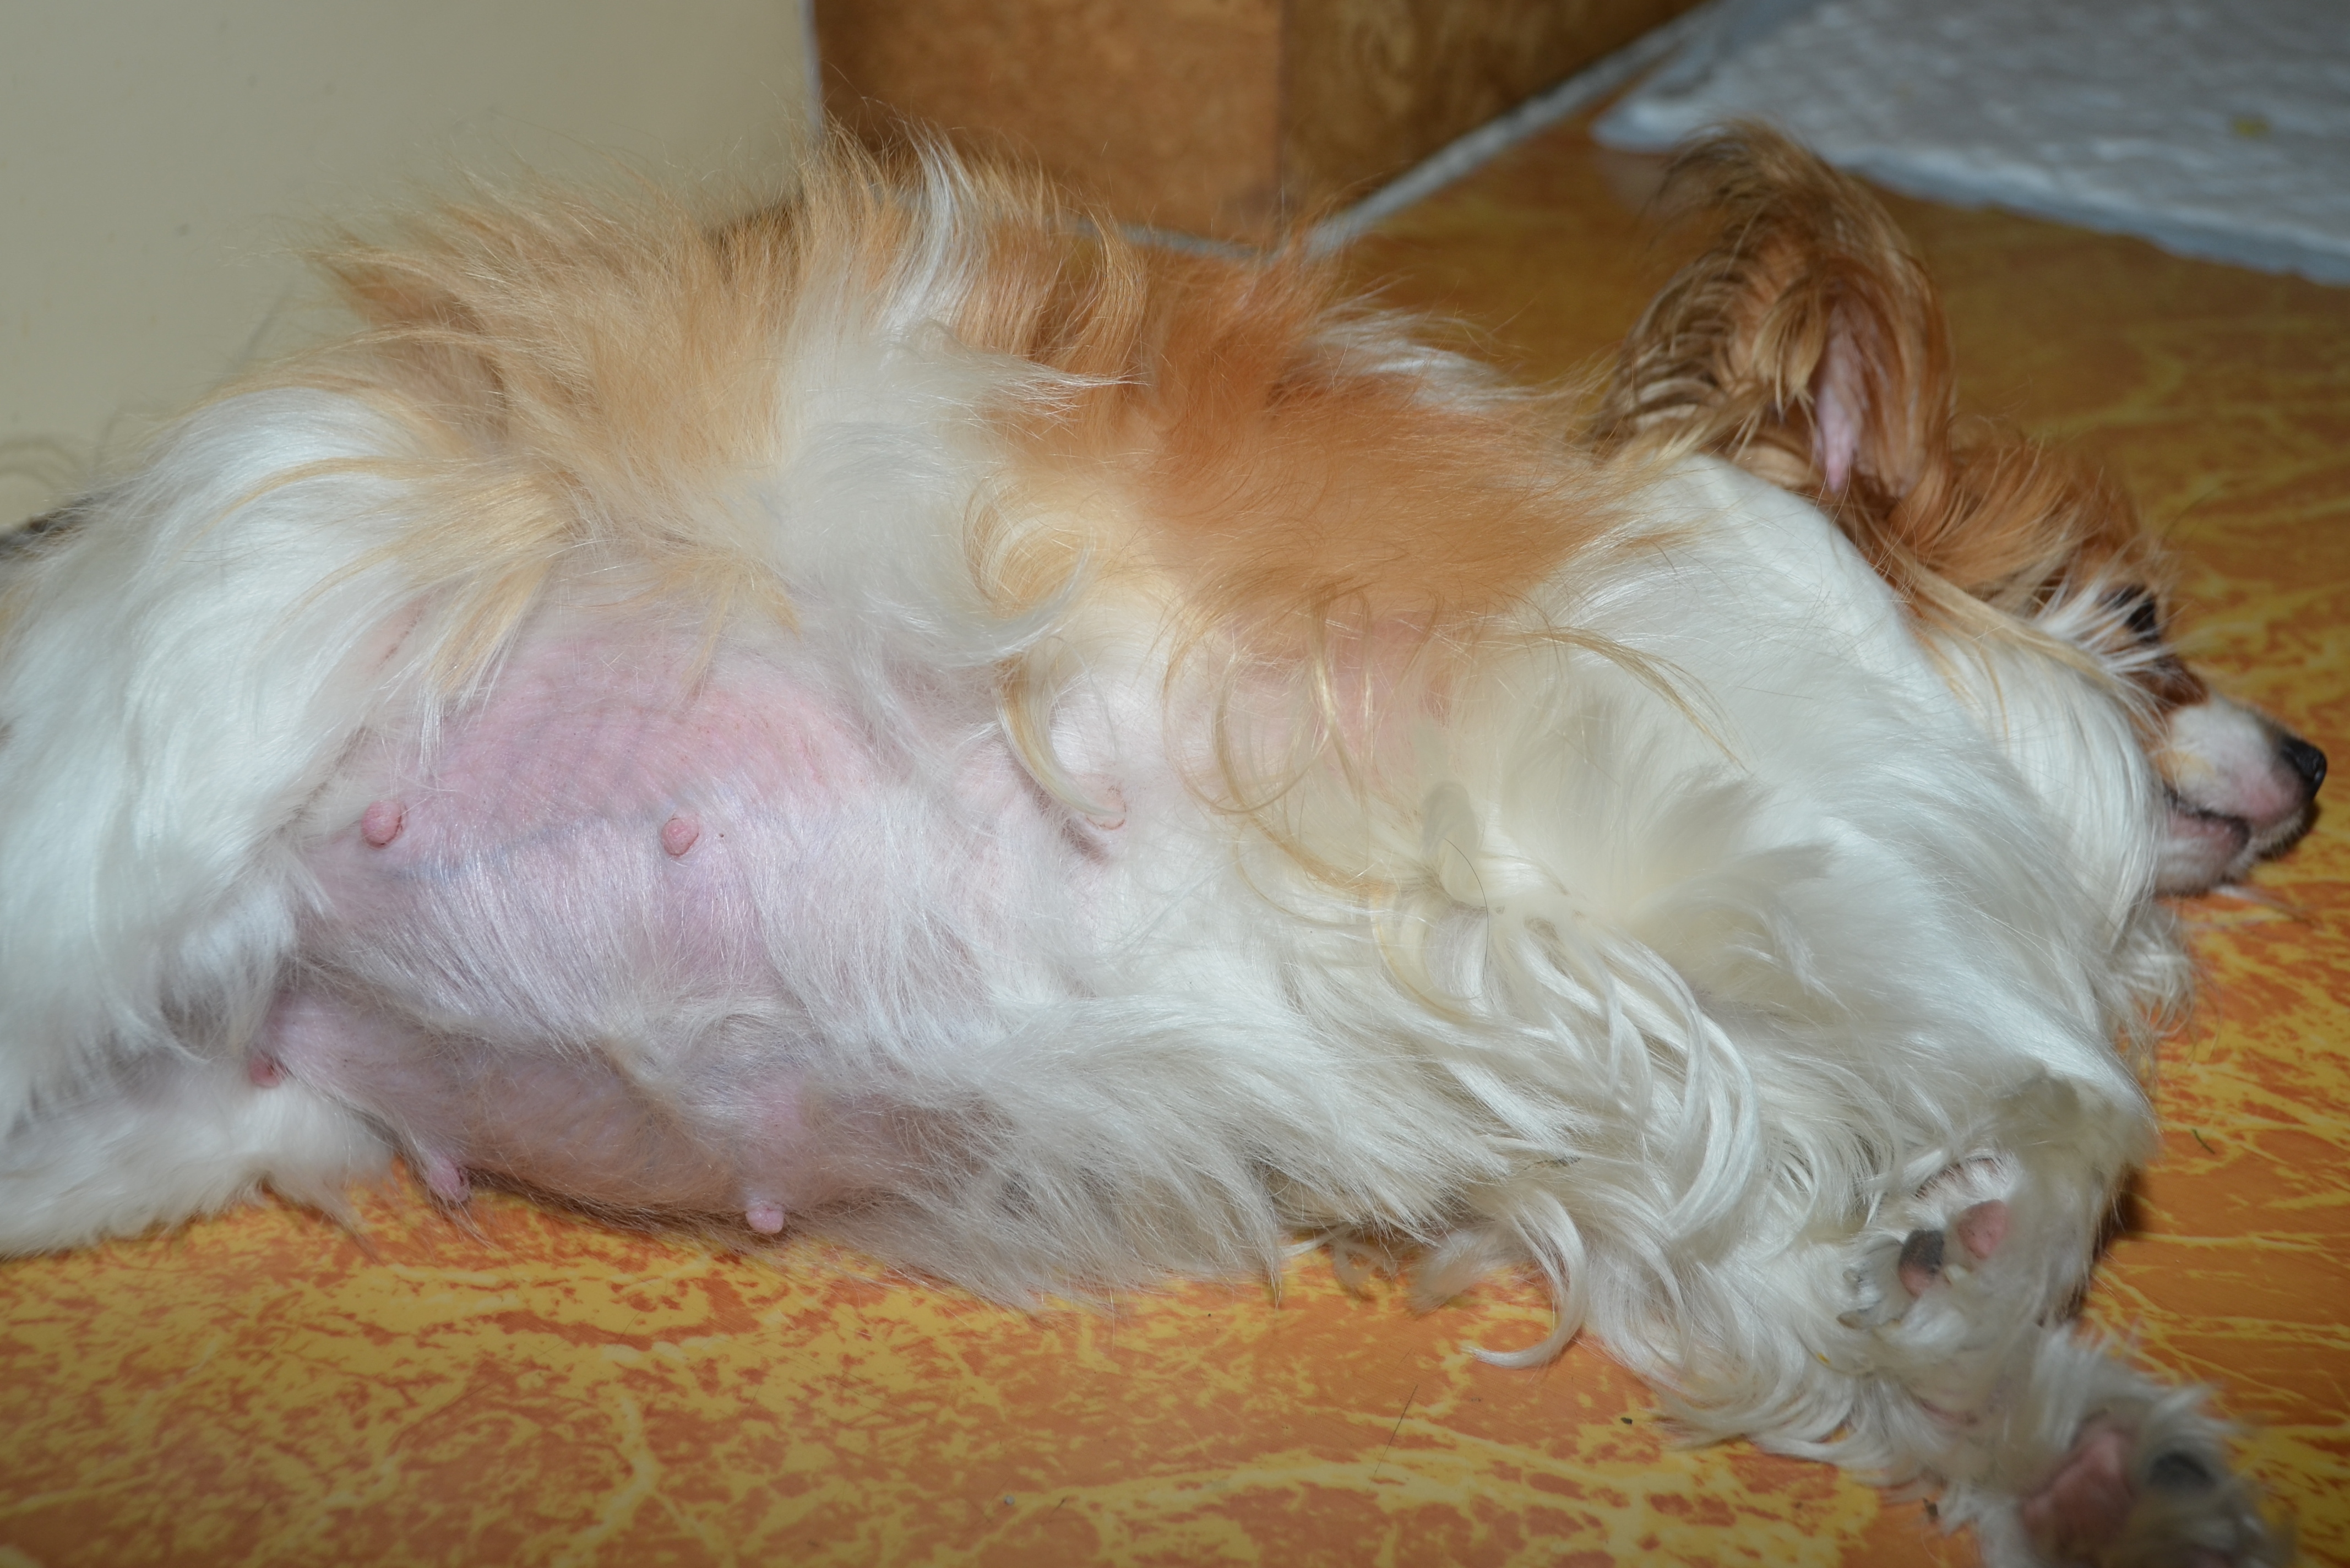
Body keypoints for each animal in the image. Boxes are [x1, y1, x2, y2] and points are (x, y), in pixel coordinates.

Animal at [0, 127, 2319, 1566]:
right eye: (2142, 622)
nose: (2310, 753)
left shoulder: (1645, 1139)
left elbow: (1855, 1280)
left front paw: (2091, 1456)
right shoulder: (1676, 792)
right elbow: (2036, 1061)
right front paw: (1992, 1209)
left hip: (157, 1117)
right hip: (161, 770)